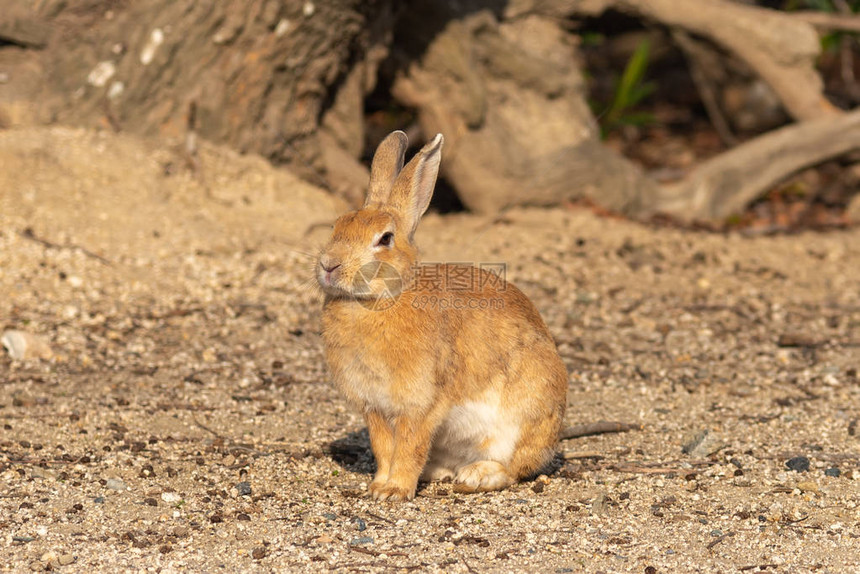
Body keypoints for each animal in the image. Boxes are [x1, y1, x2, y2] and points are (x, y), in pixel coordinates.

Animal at [320, 133, 568, 502]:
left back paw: (477, 476)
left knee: (516, 467)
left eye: (385, 239)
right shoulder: (374, 407)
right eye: (337, 225)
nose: (329, 265)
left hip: (527, 414)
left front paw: (395, 491)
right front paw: (379, 486)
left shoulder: (421, 404)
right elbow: (384, 448)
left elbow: (409, 447)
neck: (380, 300)